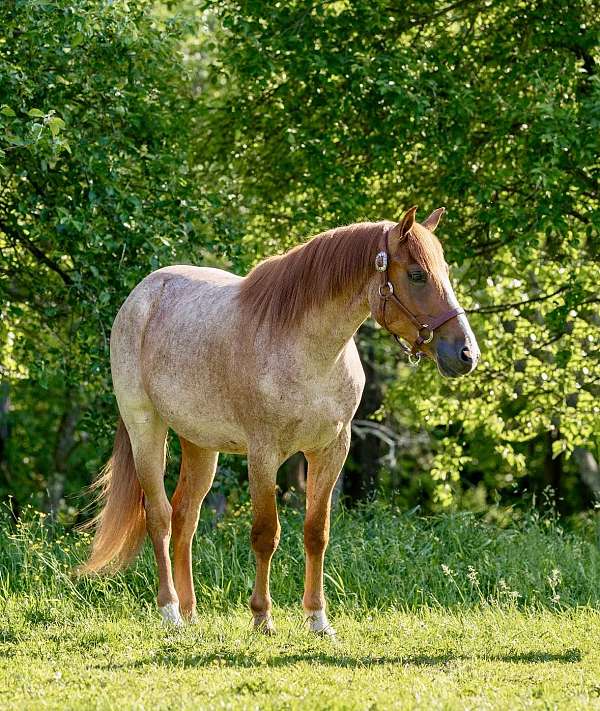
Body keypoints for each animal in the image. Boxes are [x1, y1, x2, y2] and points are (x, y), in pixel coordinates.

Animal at [82, 206, 480, 636]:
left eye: (445, 271)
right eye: (417, 274)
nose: (466, 354)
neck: (309, 352)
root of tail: (141, 294)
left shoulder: (331, 450)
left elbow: (316, 532)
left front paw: (318, 619)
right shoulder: (264, 454)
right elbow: (265, 534)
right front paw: (262, 616)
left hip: (200, 443)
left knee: (185, 517)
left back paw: (191, 613)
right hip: (146, 428)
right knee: (160, 516)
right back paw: (171, 612)